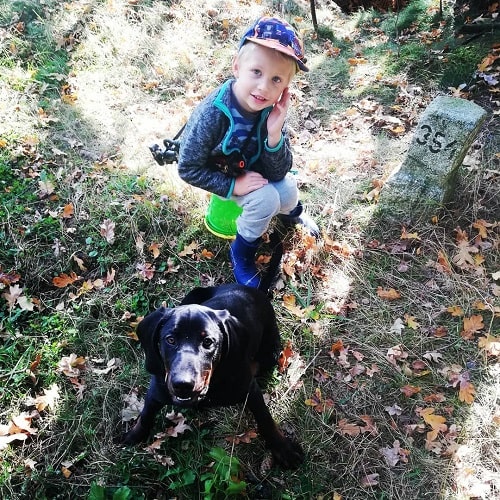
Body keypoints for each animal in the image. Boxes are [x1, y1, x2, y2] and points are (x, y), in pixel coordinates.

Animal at [124, 286, 304, 468]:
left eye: (208, 342)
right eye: (170, 339)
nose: (183, 384)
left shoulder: (250, 390)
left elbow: (265, 419)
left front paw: (283, 448)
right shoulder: (156, 390)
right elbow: (145, 415)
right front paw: (133, 435)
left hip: (271, 354)